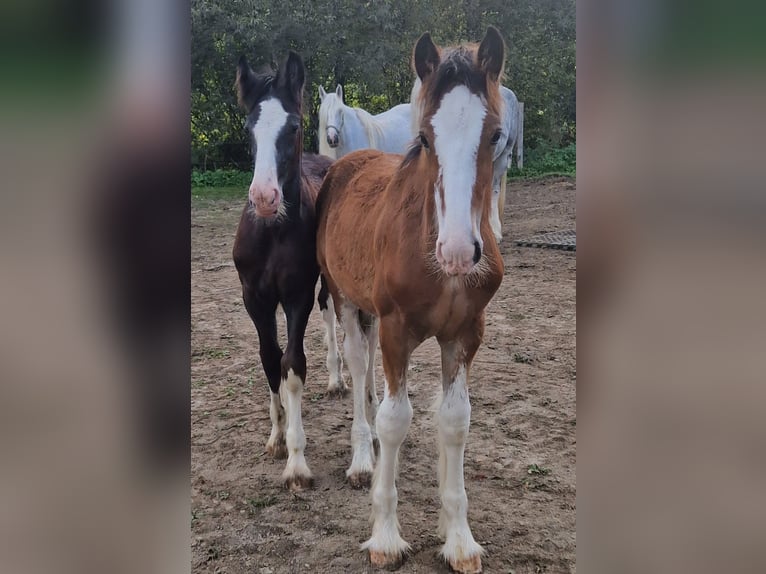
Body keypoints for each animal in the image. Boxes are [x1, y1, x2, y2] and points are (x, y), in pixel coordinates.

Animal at [232, 51, 345, 491]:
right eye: (249, 127)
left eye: (293, 126)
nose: (264, 198)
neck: (273, 231)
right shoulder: (255, 298)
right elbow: (269, 359)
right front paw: (277, 436)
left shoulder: (297, 295)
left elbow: (293, 365)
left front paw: (297, 461)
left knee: (330, 312)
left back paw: (337, 379)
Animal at [316, 27, 506, 574]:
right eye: (424, 138)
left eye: (495, 135)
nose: (459, 252)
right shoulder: (398, 329)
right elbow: (396, 419)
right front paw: (385, 535)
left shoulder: (465, 334)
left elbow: (455, 420)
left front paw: (459, 538)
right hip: (344, 299)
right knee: (359, 368)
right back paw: (363, 458)